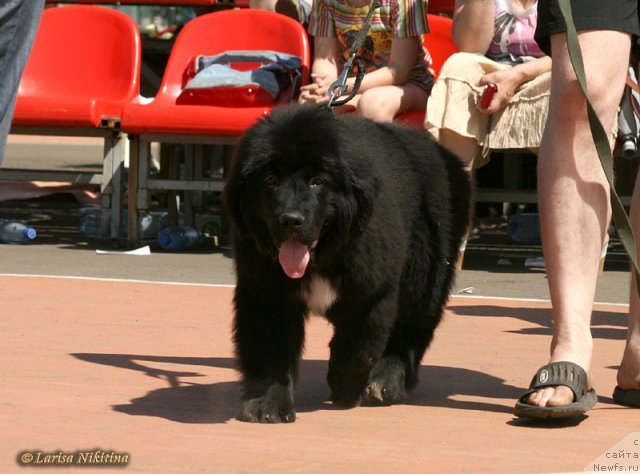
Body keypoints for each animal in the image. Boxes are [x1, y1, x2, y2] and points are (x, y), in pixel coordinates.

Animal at [224, 105, 470, 424]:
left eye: (318, 181)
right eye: (270, 180)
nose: (290, 219)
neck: (321, 256)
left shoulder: (372, 295)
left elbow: (357, 350)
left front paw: (344, 388)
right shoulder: (266, 295)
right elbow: (270, 351)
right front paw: (266, 405)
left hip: (426, 272)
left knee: (412, 327)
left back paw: (387, 379)